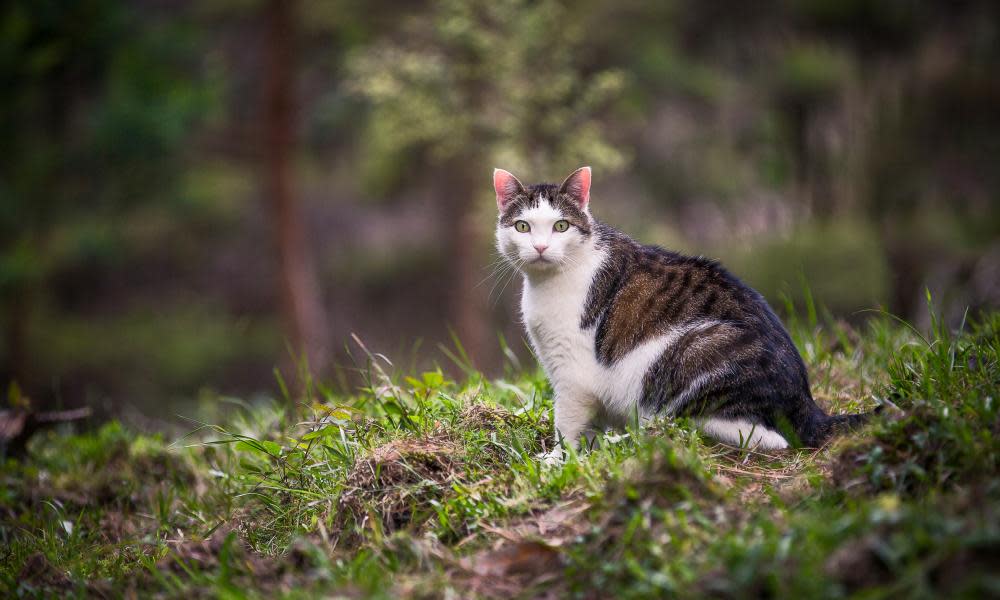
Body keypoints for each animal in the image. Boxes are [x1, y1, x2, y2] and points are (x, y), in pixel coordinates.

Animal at [492, 166, 876, 458]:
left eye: (561, 226)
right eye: (523, 226)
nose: (541, 247)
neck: (547, 283)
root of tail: (808, 406)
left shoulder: (573, 375)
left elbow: (567, 425)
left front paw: (557, 459)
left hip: (694, 349)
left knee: (769, 438)